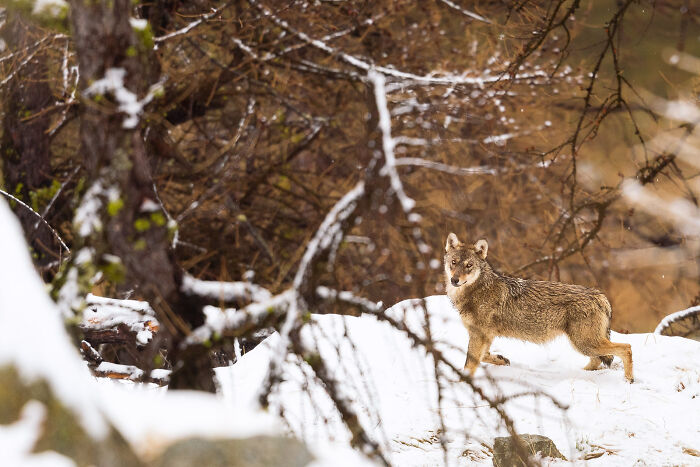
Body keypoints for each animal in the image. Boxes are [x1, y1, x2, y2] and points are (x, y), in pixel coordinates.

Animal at [444, 233, 634, 382]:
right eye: (453, 262)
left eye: (469, 265)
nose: (455, 280)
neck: (478, 289)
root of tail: (600, 295)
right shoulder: (485, 335)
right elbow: (483, 356)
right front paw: (501, 359)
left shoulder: (479, 334)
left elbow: (470, 363)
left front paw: (463, 382)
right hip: (584, 345)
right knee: (597, 360)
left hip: (584, 343)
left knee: (626, 348)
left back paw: (628, 379)